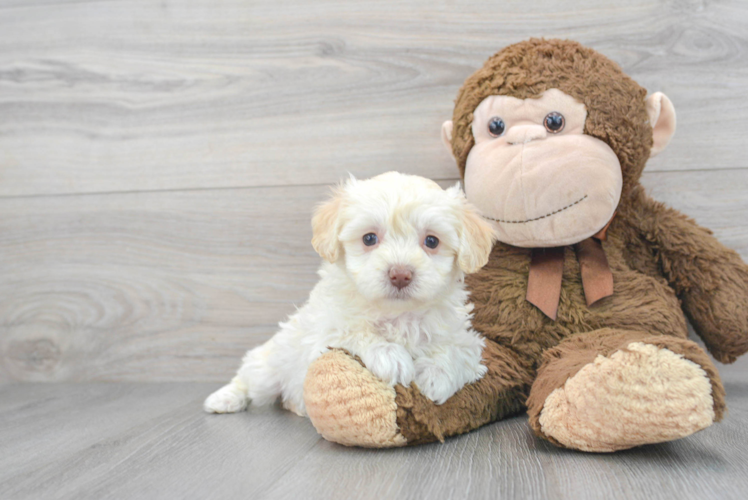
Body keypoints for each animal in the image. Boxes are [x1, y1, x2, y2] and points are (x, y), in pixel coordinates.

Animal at [205, 174, 496, 416]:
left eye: (432, 241)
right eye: (369, 238)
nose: (400, 274)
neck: (397, 314)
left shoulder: (465, 339)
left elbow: (459, 351)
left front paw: (435, 377)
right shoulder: (323, 336)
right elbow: (352, 331)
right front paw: (391, 356)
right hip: (272, 364)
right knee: (249, 377)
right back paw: (224, 399)